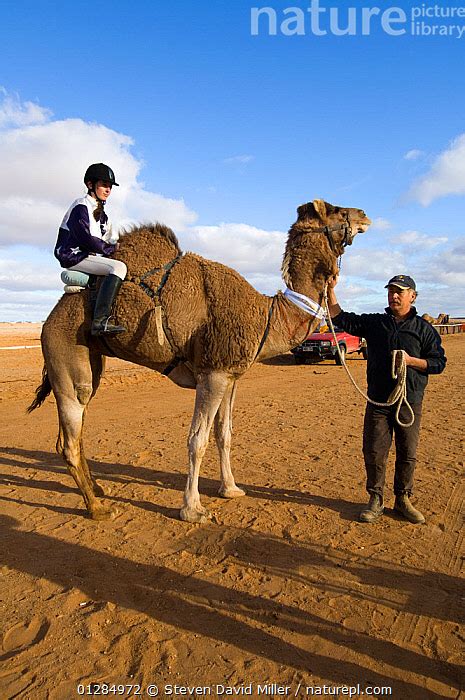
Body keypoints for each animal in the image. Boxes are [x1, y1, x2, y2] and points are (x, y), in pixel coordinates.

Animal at [29, 200, 370, 524]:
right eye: (336, 209)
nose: (365, 215)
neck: (267, 315)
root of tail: (50, 319)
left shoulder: (230, 377)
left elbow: (224, 434)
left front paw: (230, 489)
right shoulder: (212, 373)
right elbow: (198, 440)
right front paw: (192, 509)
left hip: (92, 358)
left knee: (75, 432)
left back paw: (99, 489)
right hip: (65, 352)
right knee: (70, 434)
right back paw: (98, 508)